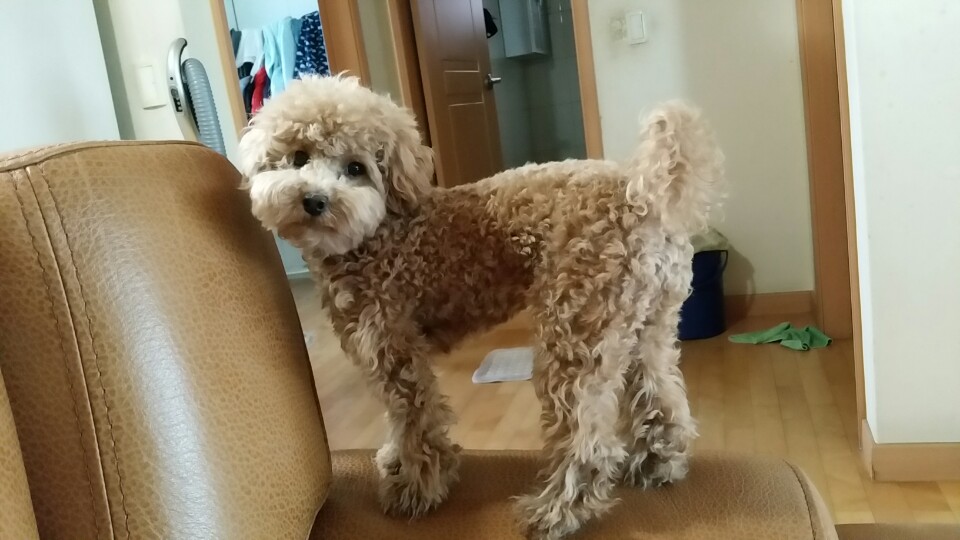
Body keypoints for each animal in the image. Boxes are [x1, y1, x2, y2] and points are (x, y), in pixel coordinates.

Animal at [237, 75, 724, 539]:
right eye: (298, 157)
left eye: (356, 168)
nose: (314, 201)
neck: (378, 233)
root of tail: (642, 198)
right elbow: (398, 421)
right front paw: (394, 460)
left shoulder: (392, 347)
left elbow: (415, 419)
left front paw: (416, 490)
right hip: (647, 325)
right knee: (662, 398)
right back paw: (660, 465)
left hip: (576, 328)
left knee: (589, 442)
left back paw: (555, 514)